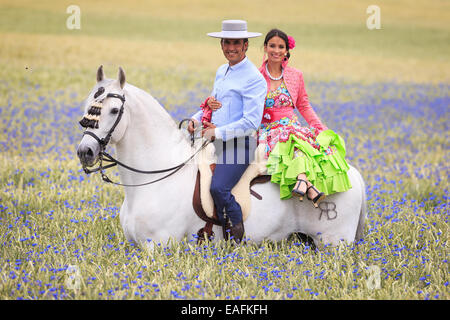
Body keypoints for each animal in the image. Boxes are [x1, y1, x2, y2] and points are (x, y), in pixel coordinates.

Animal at [77, 66, 366, 249]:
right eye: (87, 106)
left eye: (115, 110)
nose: (85, 152)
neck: (156, 179)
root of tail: (351, 173)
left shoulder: (158, 247)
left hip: (333, 244)